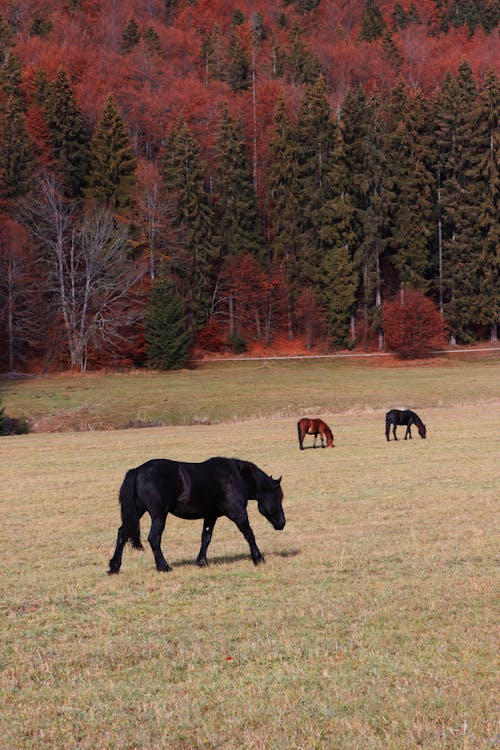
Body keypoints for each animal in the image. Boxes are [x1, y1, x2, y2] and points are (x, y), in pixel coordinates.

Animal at [109, 458, 286, 576]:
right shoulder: (238, 513)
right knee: (154, 538)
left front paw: (201, 561)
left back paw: (114, 567)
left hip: (136, 513)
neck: (238, 476)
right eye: (278, 497)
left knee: (122, 534)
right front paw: (259, 558)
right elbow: (249, 534)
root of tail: (138, 471)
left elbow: (206, 538)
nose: (282, 523)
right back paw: (164, 566)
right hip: (158, 515)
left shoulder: (211, 516)